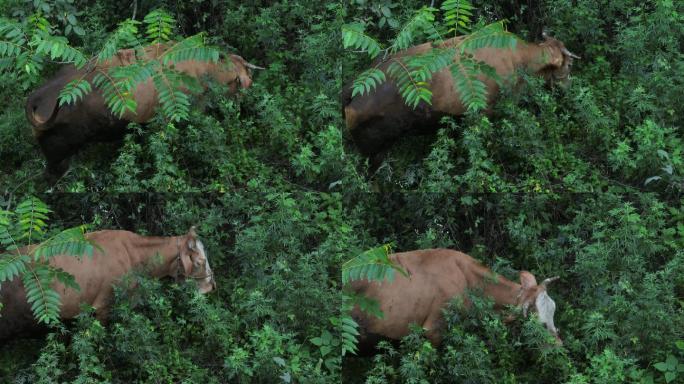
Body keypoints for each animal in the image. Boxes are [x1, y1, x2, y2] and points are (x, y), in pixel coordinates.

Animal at [342, 32, 576, 160]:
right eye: (568, 65)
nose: (568, 87)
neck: (518, 58)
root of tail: (352, 91)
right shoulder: (487, 112)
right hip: (374, 150)